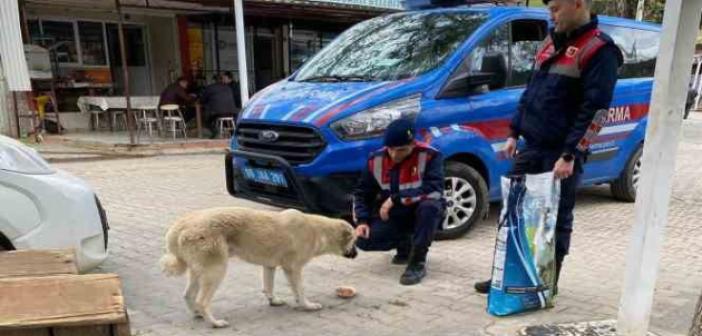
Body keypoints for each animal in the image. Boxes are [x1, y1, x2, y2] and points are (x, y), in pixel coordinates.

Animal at [160, 207, 358, 328]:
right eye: (354, 241)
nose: (356, 255)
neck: (318, 231)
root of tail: (180, 226)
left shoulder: (269, 266)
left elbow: (268, 286)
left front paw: (273, 301)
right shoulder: (293, 269)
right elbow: (300, 290)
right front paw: (307, 305)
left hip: (199, 271)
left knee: (188, 295)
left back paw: (197, 314)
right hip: (215, 271)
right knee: (202, 301)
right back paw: (215, 323)